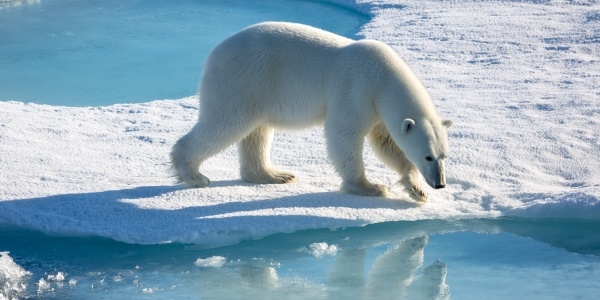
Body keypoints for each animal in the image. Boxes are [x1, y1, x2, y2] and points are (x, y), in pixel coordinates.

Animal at [171, 22, 452, 200]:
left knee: (257, 131)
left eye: (444, 156)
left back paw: (275, 175)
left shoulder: (378, 109)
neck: (384, 77)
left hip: (259, 90)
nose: (440, 184)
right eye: (428, 156)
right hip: (244, 80)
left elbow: (387, 143)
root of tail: (214, 53)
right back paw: (194, 175)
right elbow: (343, 134)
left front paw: (416, 189)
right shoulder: (357, 90)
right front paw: (371, 187)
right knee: (225, 123)